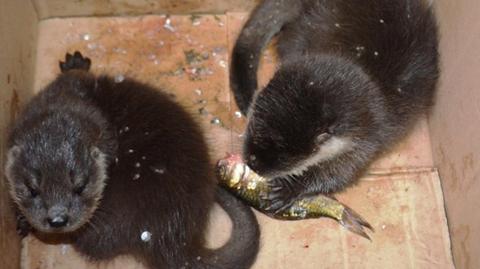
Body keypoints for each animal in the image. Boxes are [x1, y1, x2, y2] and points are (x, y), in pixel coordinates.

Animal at [4, 51, 258, 266]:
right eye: (32, 189)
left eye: (80, 186)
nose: (57, 219)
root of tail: (171, 236)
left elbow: (76, 75)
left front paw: (75, 63)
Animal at [230, 0, 438, 211]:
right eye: (252, 128)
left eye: (284, 159)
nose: (252, 163)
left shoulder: (368, 139)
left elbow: (342, 174)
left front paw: (289, 189)